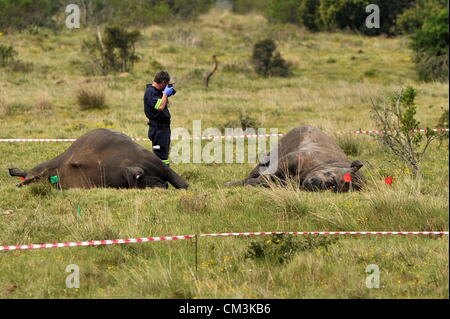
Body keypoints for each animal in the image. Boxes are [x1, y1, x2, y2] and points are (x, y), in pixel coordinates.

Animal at [227, 126, 364, 192]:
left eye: (333, 186)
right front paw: (251, 183)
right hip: (274, 153)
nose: (317, 183)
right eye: (330, 175)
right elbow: (267, 175)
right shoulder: (295, 158)